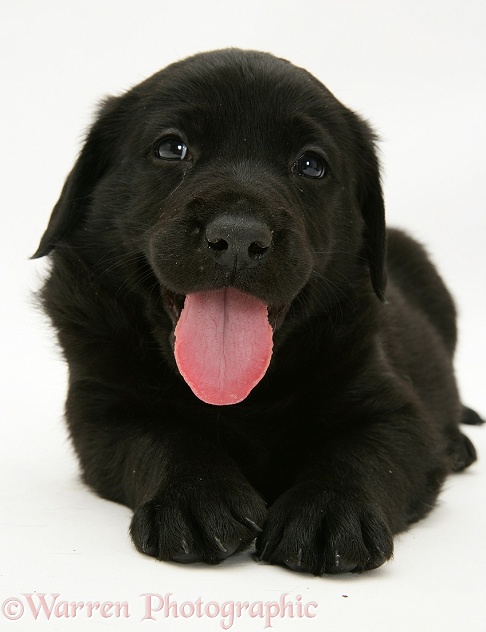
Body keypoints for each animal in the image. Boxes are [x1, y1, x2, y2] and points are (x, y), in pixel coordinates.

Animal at [33, 49, 478, 572]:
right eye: (171, 149)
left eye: (311, 165)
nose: (239, 237)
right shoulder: (102, 409)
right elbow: (160, 436)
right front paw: (198, 497)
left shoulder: (394, 408)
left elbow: (367, 453)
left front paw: (328, 510)